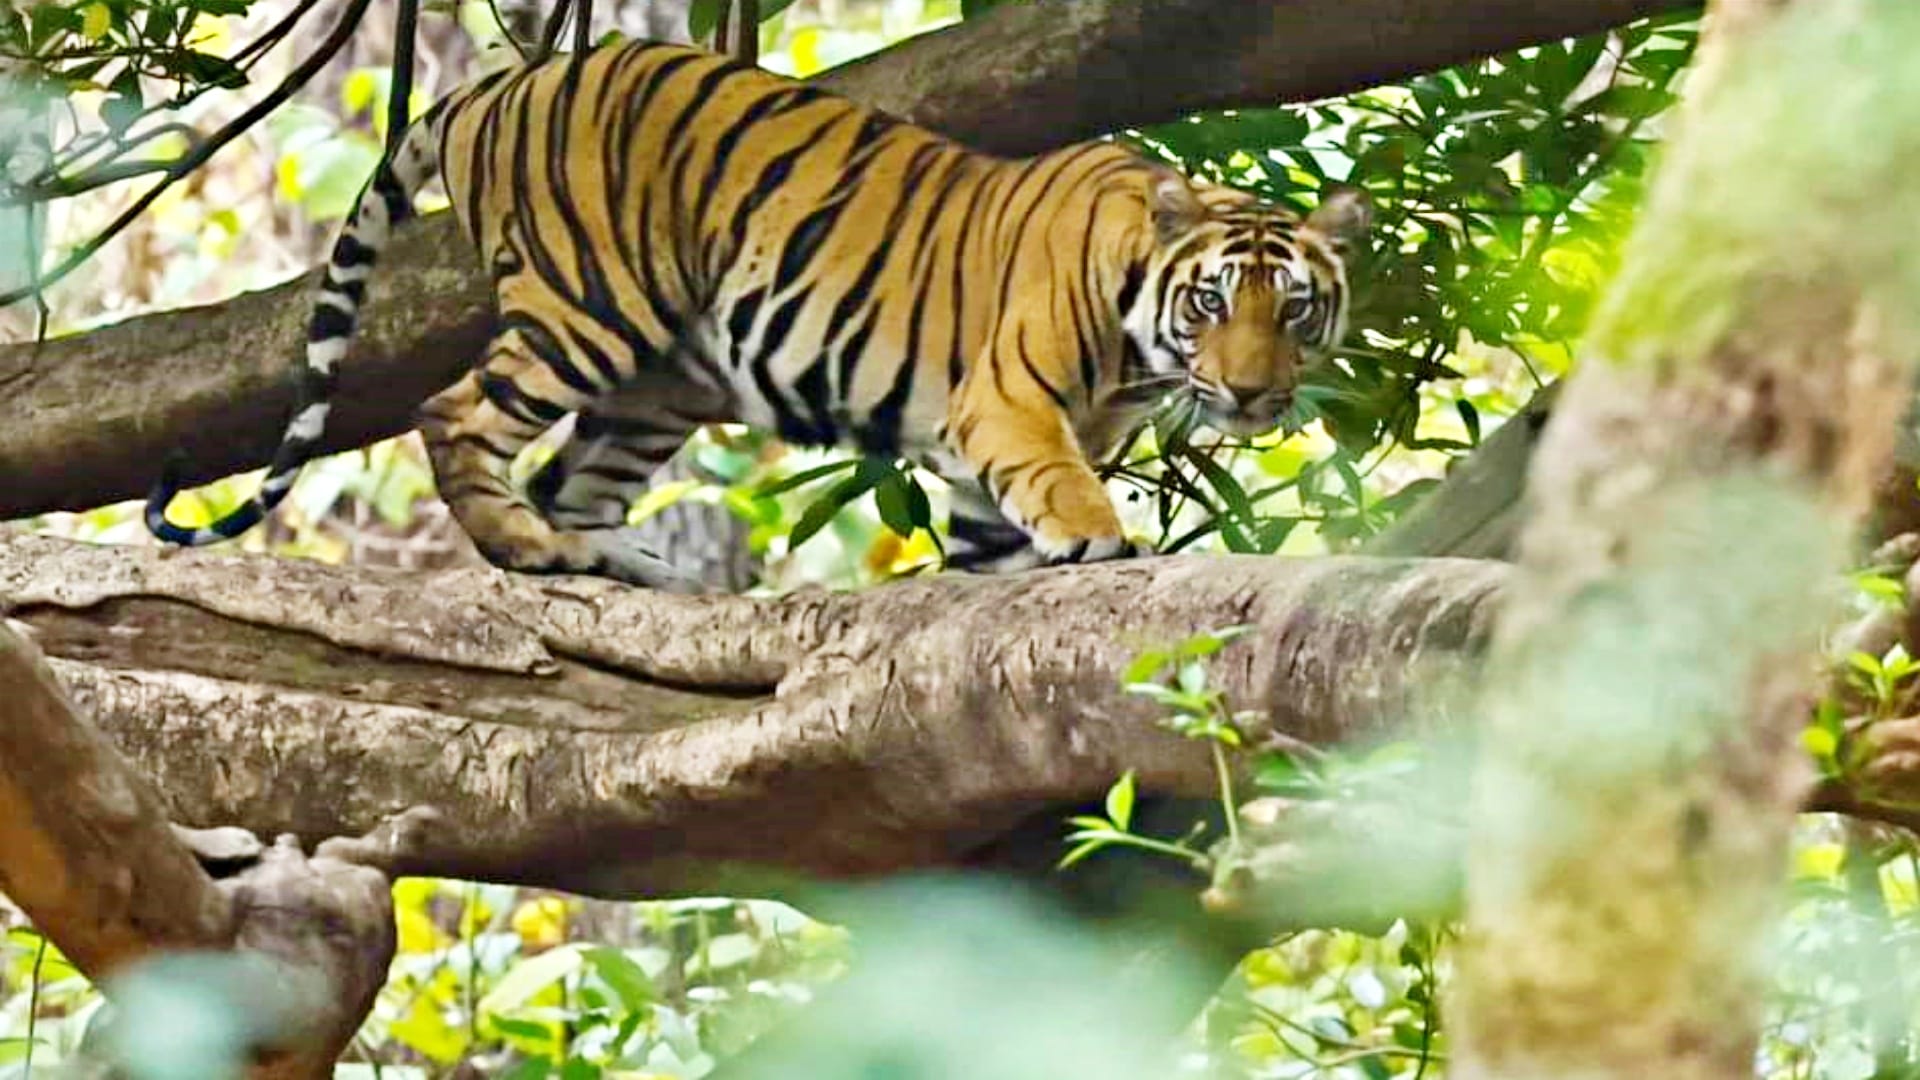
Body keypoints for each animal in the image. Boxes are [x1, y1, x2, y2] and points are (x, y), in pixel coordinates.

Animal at [145, 39, 1370, 592]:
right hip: (591, 305)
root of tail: (503, 82)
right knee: (455, 415)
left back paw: (617, 561)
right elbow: (1059, 483)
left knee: (573, 476)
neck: (1139, 349)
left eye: (1296, 312)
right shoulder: (1008, 404)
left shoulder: (984, 459)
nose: (1253, 392)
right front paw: (1101, 536)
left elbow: (987, 539)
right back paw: (526, 547)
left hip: (659, 381)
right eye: (1212, 301)